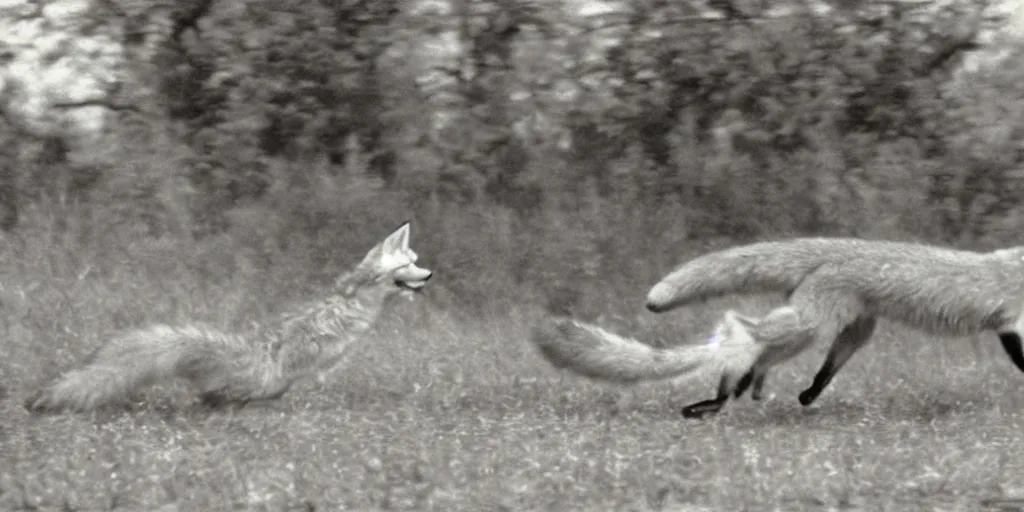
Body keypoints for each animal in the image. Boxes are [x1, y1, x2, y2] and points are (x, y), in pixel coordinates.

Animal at [532, 237, 1024, 417]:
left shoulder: (1009, 328)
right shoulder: (1015, 323)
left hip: (851, 329)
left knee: (802, 363)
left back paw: (767, 390)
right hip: (810, 324)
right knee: (743, 331)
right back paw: (724, 388)